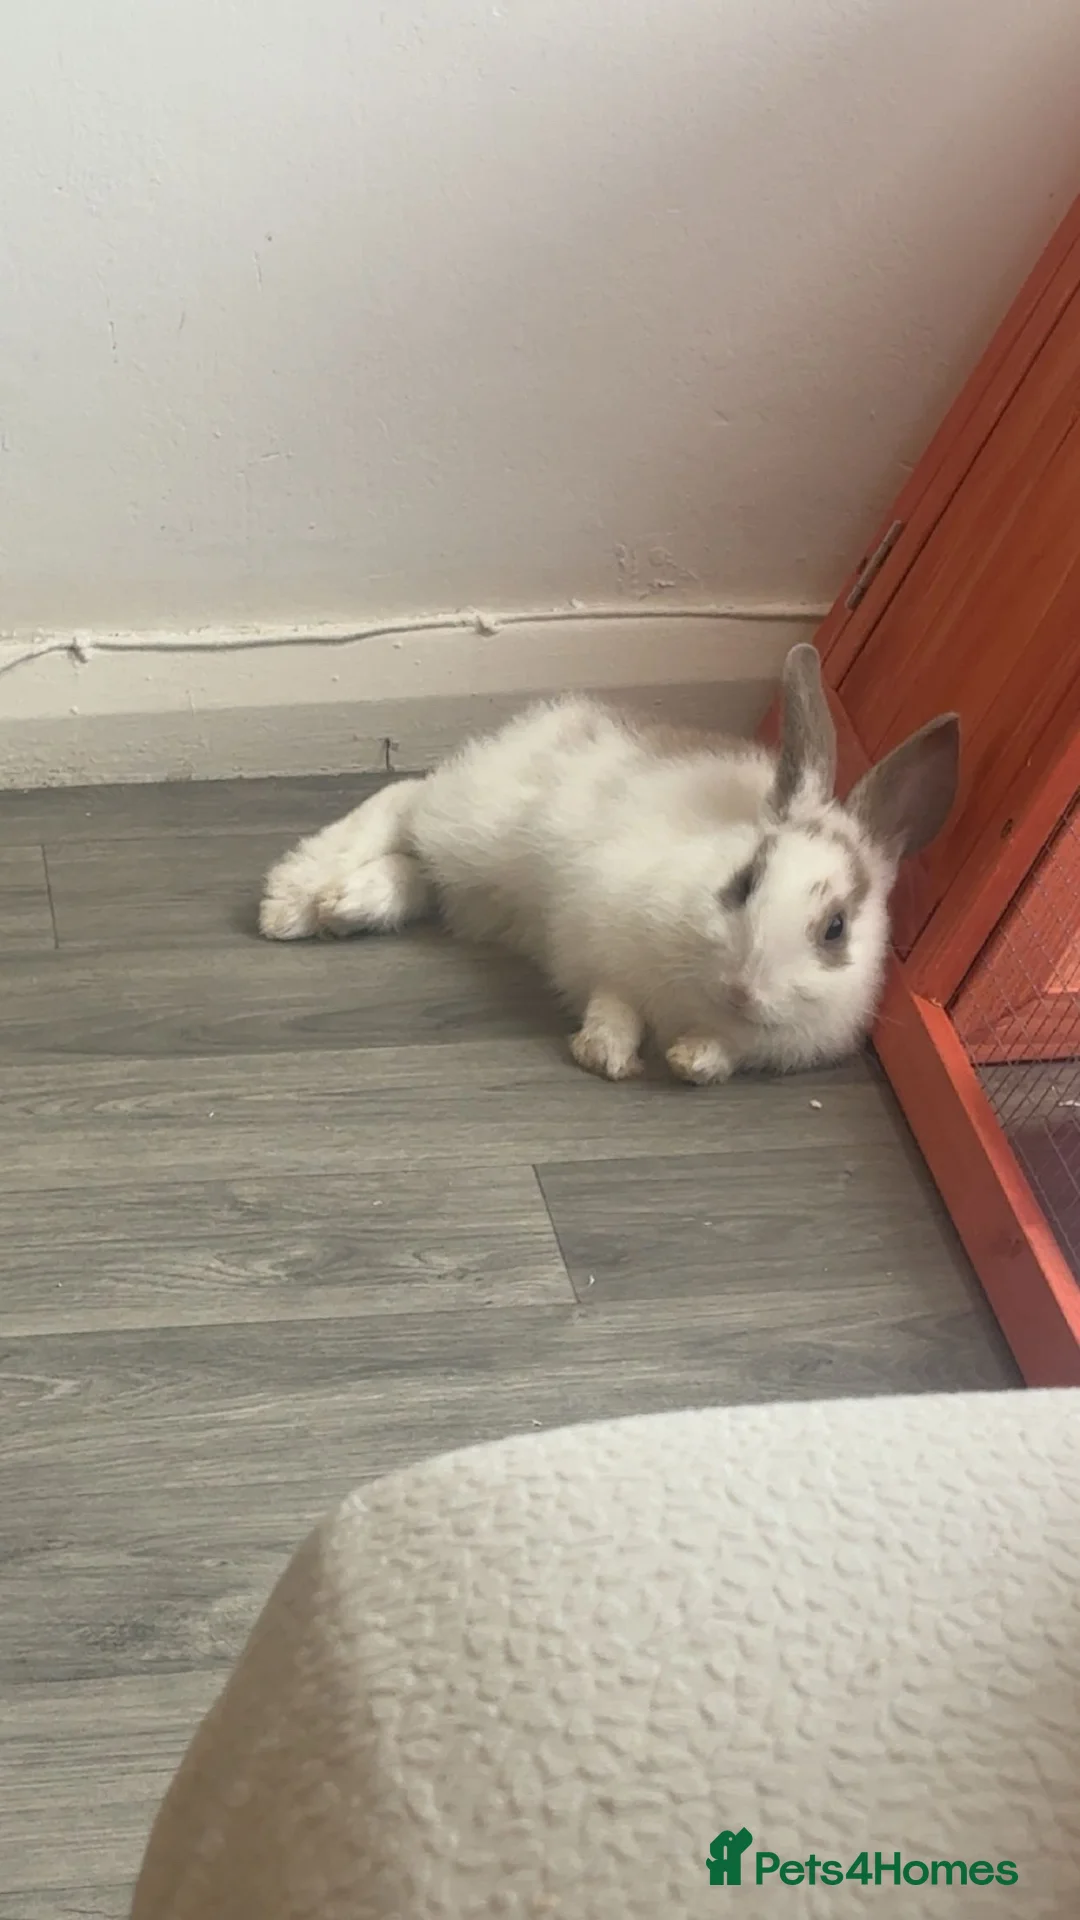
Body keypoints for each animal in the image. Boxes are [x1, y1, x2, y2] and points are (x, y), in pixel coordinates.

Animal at [258, 643, 959, 1085]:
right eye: (743, 884)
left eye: (836, 929)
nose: (743, 989)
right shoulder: (604, 943)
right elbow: (613, 1001)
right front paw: (607, 1056)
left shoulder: (782, 1043)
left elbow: (727, 1053)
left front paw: (692, 1063)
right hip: (478, 825)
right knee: (404, 801)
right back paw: (291, 902)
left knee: (420, 875)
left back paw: (348, 906)